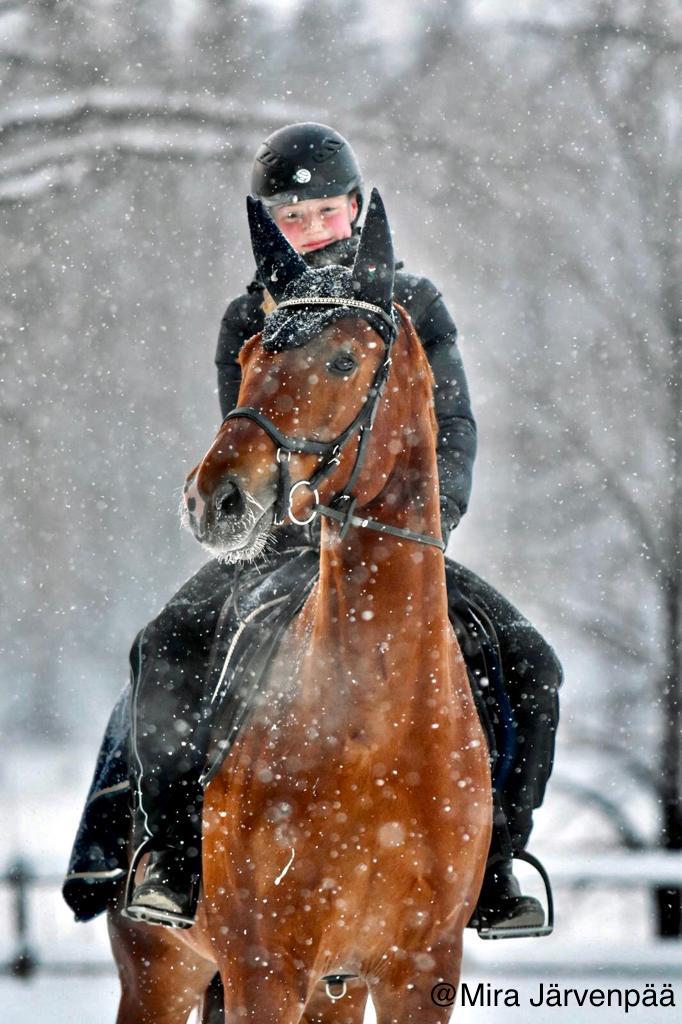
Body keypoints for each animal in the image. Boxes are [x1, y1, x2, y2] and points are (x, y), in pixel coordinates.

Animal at [104, 192, 489, 1024]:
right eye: (249, 358)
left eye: (343, 360)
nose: (213, 498)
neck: (373, 729)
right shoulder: (263, 970)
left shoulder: (420, 971)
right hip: (160, 970)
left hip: (331, 994)